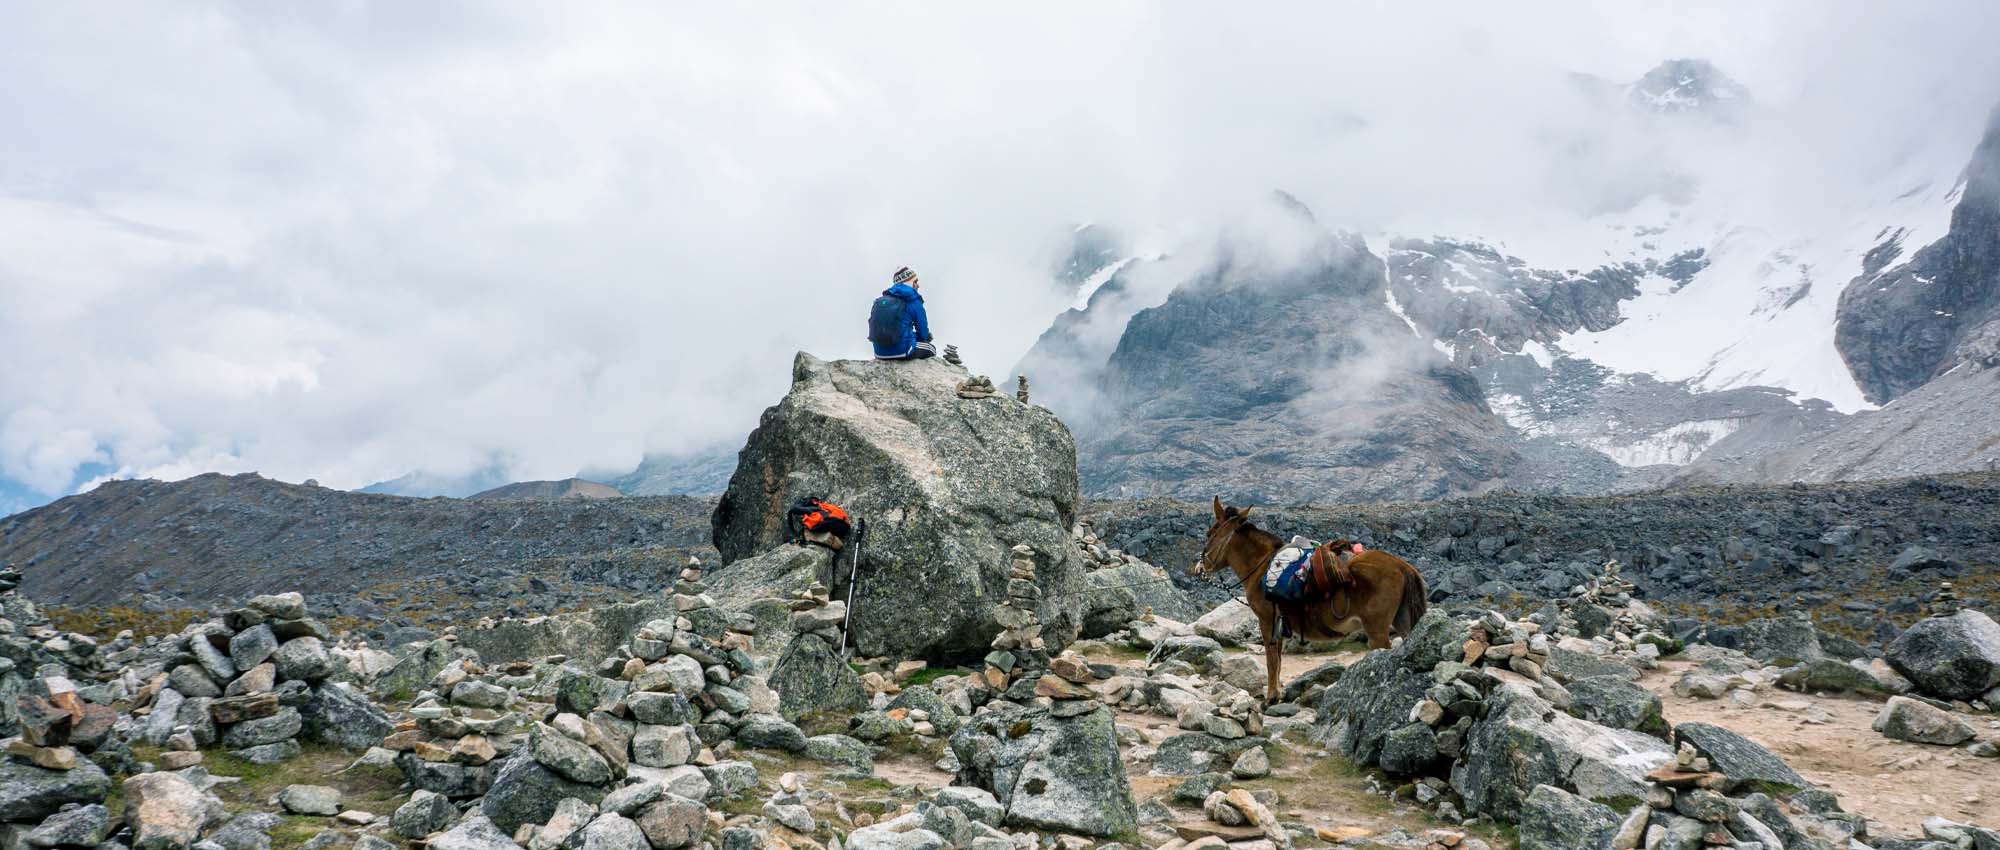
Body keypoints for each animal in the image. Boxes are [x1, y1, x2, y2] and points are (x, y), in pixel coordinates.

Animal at [1192, 496, 1432, 704]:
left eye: (1209, 532)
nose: (1199, 568)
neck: (1261, 568)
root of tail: (1403, 566)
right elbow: (1278, 659)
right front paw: (1277, 695)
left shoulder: (1267, 620)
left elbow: (1271, 660)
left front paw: (1270, 699)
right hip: (1402, 621)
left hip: (1377, 630)